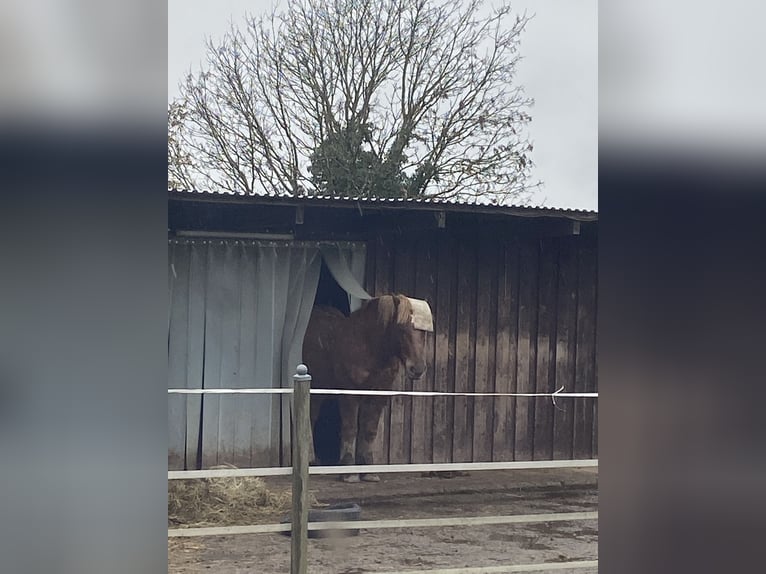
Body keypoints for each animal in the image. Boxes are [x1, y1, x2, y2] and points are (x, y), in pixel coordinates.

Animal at [302, 294, 429, 483]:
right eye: (401, 328)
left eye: (424, 332)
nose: (418, 369)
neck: (366, 348)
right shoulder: (350, 394)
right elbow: (351, 429)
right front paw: (349, 471)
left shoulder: (378, 395)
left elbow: (369, 430)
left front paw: (369, 471)